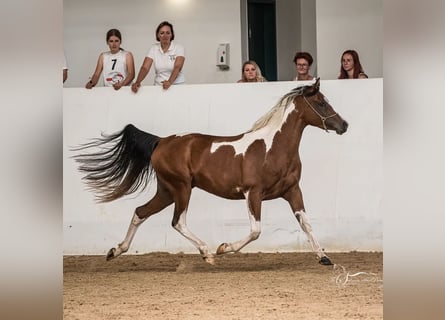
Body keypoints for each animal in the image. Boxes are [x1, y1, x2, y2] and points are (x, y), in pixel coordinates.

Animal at [72, 79, 346, 266]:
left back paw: (115, 251)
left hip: (167, 190)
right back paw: (207, 252)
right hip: (181, 188)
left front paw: (324, 257)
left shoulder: (292, 190)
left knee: (141, 212)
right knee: (178, 221)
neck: (272, 147)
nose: (344, 125)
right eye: (321, 103)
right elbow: (255, 231)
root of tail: (161, 141)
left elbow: (305, 223)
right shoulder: (253, 193)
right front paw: (223, 248)